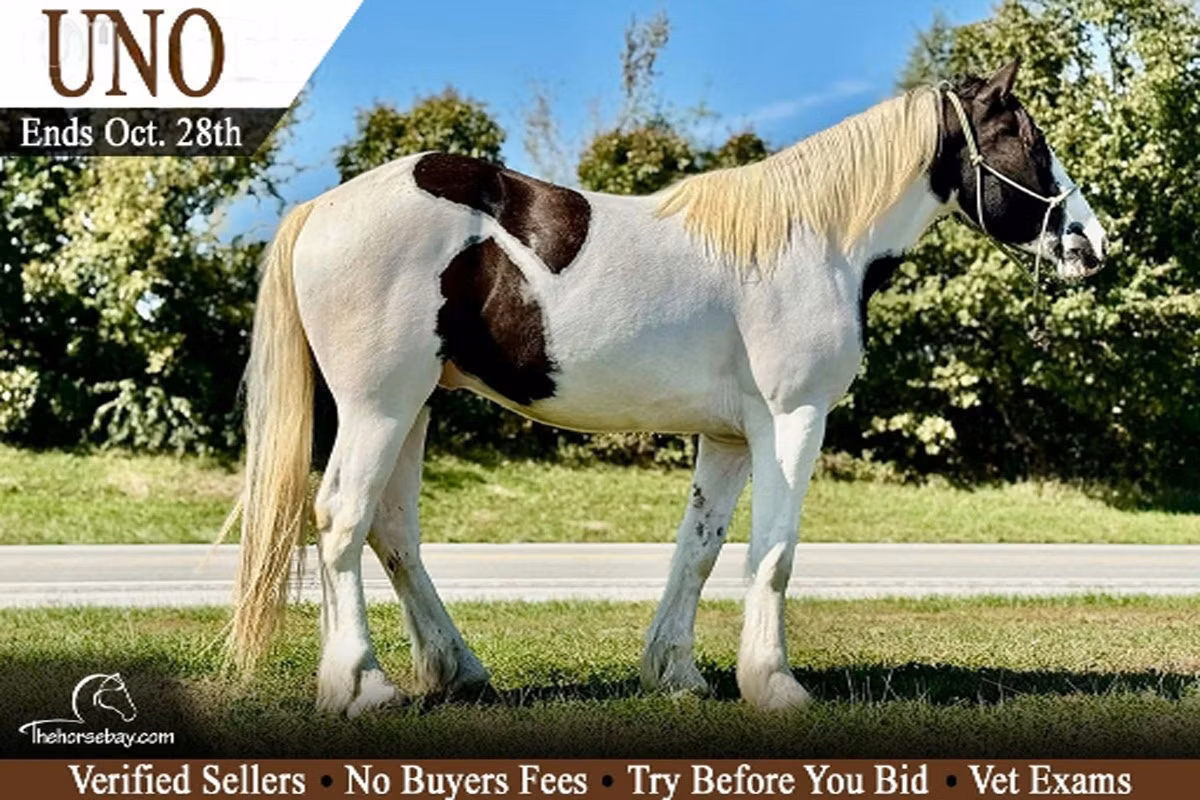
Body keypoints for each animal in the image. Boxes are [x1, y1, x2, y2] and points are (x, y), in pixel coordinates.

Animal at [223, 60, 1106, 716]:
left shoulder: (729, 438)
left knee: (391, 530)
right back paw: (361, 685)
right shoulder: (793, 421)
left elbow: (700, 550)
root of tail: (320, 210)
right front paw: (775, 685)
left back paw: (456, 671)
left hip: (413, 407)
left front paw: (677, 673)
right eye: (1028, 137)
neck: (813, 239)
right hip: (379, 406)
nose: (1092, 243)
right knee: (342, 517)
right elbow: (774, 555)